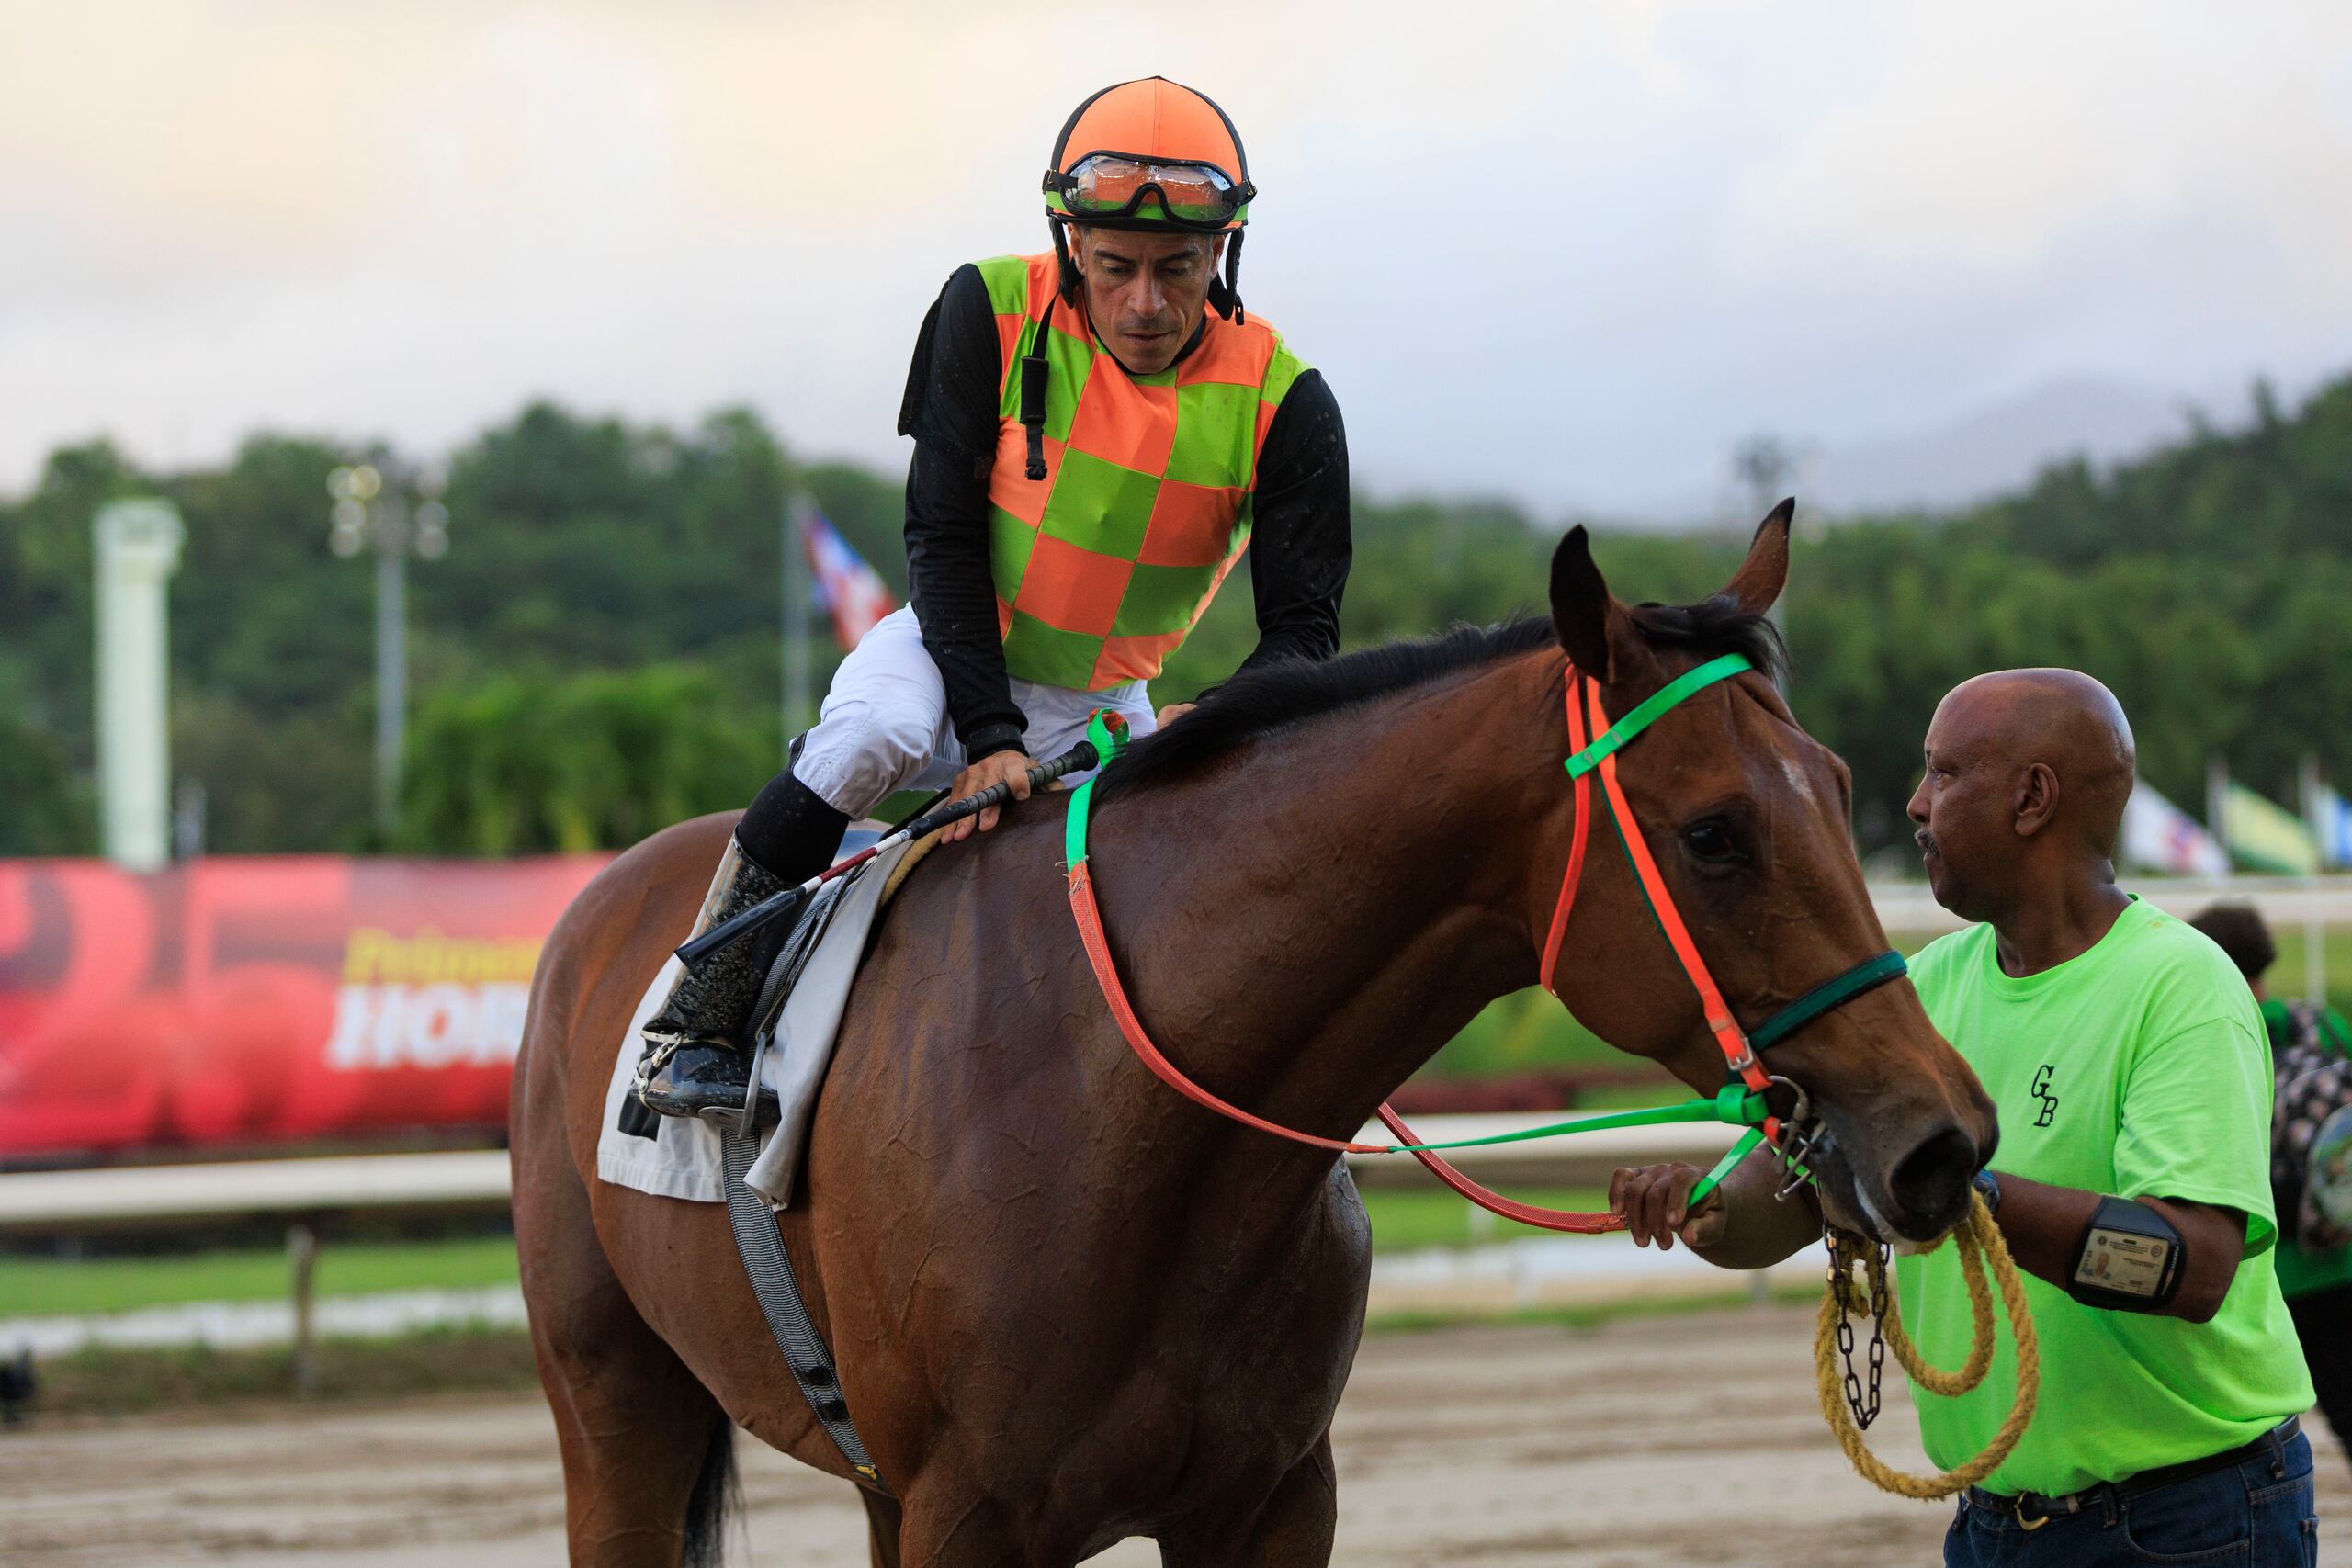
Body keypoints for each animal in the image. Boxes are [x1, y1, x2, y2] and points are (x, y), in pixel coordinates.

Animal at [510, 510, 1984, 1561]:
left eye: (1844, 788)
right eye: (1714, 833)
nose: (1942, 1137)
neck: (1128, 1115)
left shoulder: (1267, 1501)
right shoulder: (970, 1516)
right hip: (613, 1405)